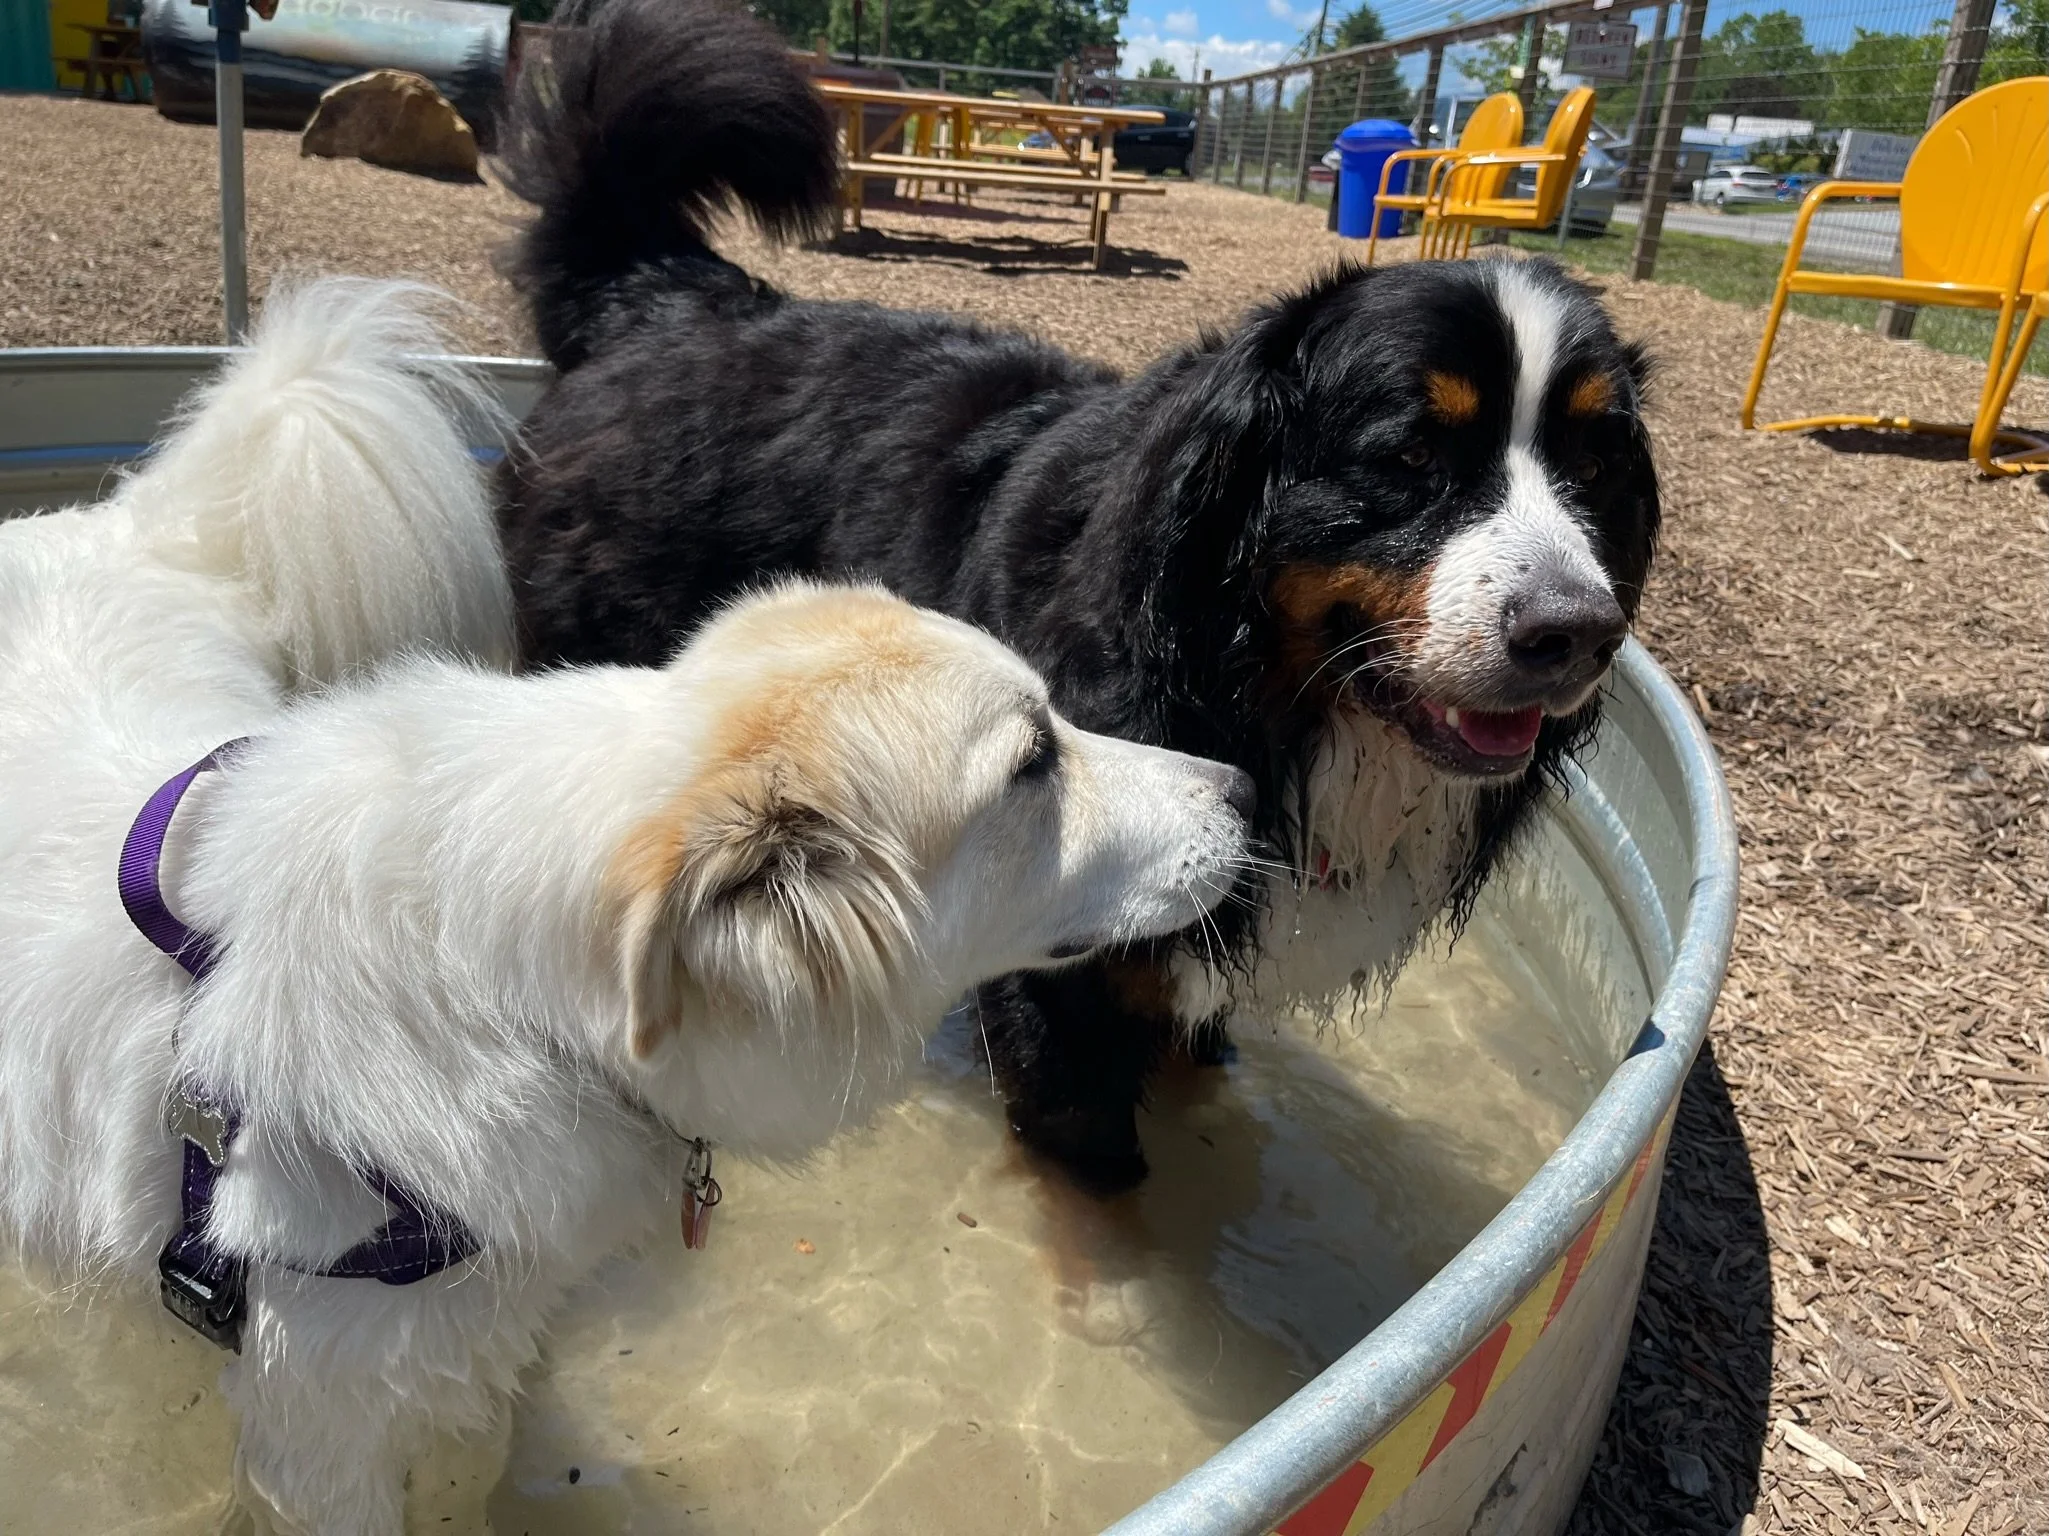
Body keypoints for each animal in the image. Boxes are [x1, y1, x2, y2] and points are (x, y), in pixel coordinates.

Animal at [494, 0, 1661, 1193]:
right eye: (1413, 455)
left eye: (1597, 461)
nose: (1579, 633)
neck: (1248, 690)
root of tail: (658, 304)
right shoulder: (1066, 988)